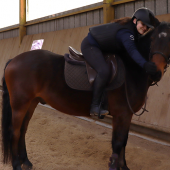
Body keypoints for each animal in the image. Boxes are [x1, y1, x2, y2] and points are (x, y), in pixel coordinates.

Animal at [1, 21, 170, 170]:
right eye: (152, 40)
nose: (155, 71)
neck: (130, 70)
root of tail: (14, 60)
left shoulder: (126, 115)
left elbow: (124, 141)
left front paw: (124, 166)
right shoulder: (121, 114)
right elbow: (117, 142)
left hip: (32, 102)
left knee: (23, 130)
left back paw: (26, 161)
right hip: (20, 104)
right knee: (14, 131)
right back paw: (16, 165)